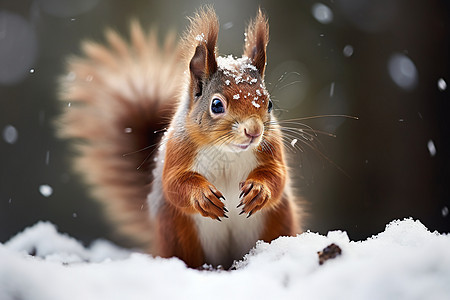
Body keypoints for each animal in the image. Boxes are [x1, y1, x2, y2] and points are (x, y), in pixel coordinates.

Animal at [56, 7, 302, 268]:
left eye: (269, 104)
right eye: (216, 105)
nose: (254, 131)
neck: (227, 151)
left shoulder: (272, 147)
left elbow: (277, 176)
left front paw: (259, 190)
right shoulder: (177, 150)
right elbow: (174, 183)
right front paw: (202, 196)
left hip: (278, 222)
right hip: (178, 231)